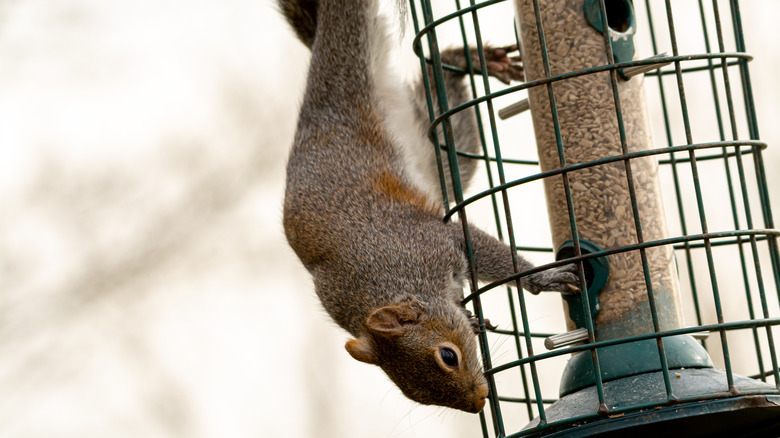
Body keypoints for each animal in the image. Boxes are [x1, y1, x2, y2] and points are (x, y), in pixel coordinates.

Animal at [276, 0, 580, 414]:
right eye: (413, 394)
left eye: (447, 356)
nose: (479, 402)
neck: (394, 282)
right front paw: (471, 316)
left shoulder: (434, 241)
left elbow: (489, 252)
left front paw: (544, 278)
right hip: (435, 145)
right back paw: (462, 59)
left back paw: (472, 57)